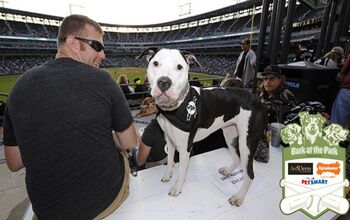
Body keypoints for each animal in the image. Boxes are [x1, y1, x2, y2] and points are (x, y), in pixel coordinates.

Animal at [138, 48, 266, 206]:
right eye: (155, 63)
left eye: (179, 67)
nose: (164, 82)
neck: (175, 109)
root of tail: (258, 100)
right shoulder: (170, 139)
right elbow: (170, 161)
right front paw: (167, 175)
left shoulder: (185, 148)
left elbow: (182, 170)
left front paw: (177, 188)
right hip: (230, 134)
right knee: (236, 157)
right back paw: (228, 171)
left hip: (247, 143)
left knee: (250, 174)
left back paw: (239, 197)